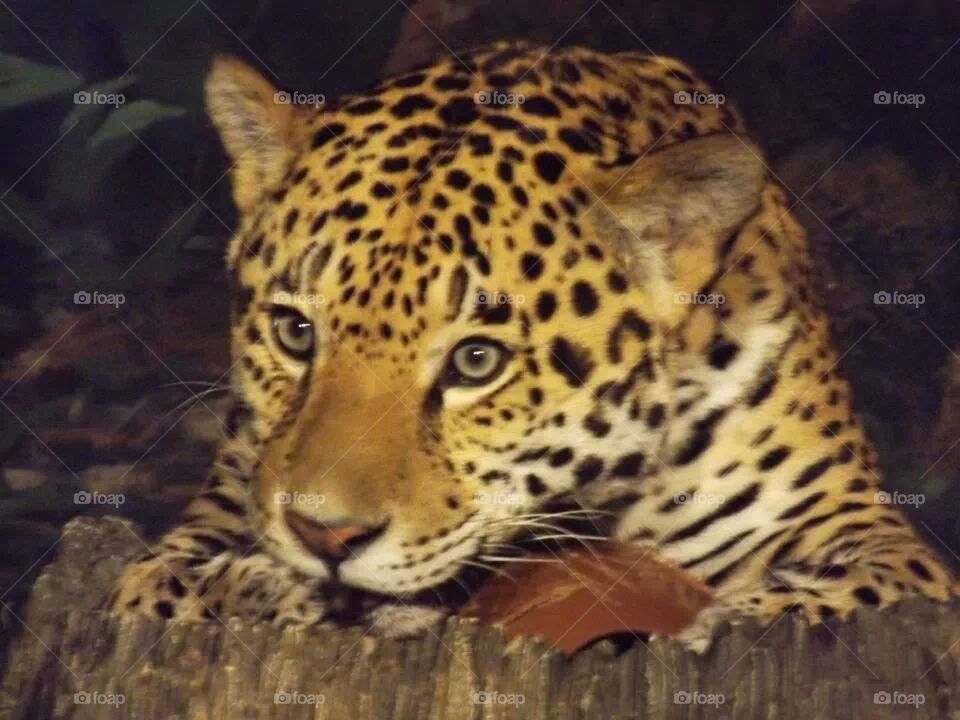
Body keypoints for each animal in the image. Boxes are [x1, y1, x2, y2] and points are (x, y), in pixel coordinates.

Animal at [110, 42, 956, 643]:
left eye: (476, 361)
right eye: (295, 331)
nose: (327, 536)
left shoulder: (859, 523)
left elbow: (861, 590)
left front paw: (752, 615)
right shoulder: (220, 499)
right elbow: (162, 581)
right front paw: (261, 589)